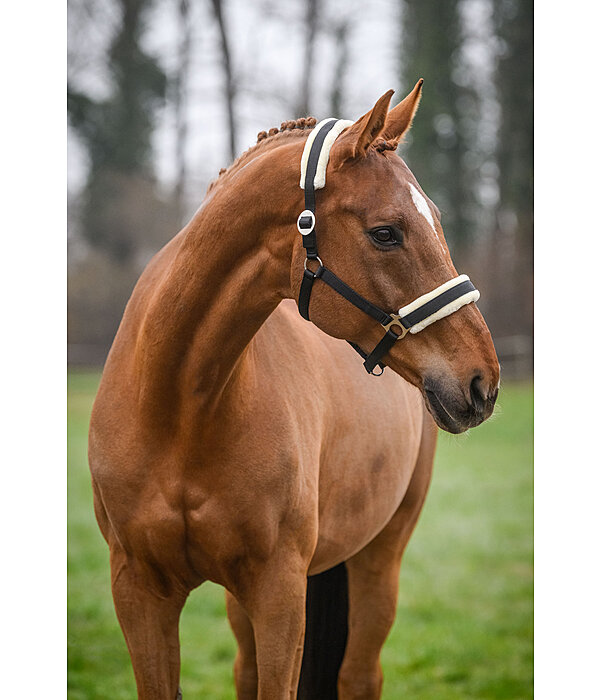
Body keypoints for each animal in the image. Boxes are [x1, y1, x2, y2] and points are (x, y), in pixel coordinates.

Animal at [88, 80, 499, 700]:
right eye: (385, 233)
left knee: (359, 675)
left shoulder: (280, 592)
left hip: (379, 557)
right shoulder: (138, 593)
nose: (483, 381)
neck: (179, 410)